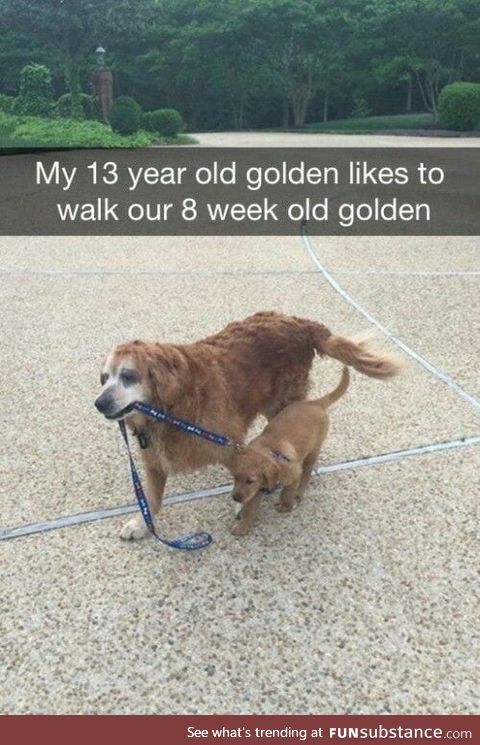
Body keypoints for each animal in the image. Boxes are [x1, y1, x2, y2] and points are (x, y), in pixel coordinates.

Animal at [229, 366, 348, 536]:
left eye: (250, 481)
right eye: (235, 478)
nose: (236, 498)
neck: (271, 454)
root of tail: (316, 403)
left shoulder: (293, 473)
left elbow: (287, 493)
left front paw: (286, 506)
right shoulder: (258, 489)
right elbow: (251, 508)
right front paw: (243, 526)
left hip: (313, 451)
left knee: (306, 473)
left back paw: (299, 493)